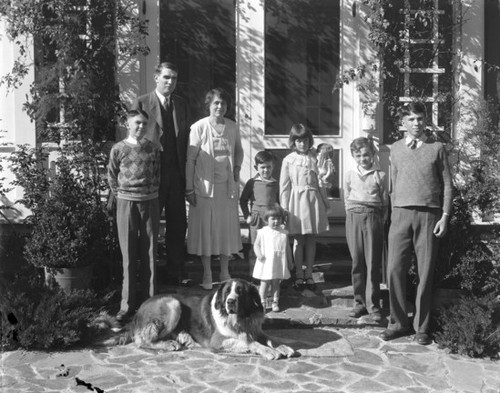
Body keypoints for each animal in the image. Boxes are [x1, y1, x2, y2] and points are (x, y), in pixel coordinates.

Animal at [107, 276, 294, 358]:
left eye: (240, 292)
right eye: (227, 292)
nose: (230, 301)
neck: (242, 319)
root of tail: (138, 311)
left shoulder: (256, 330)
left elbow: (270, 338)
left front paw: (283, 347)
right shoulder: (218, 341)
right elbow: (249, 342)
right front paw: (269, 351)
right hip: (172, 303)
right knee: (142, 341)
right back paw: (169, 344)